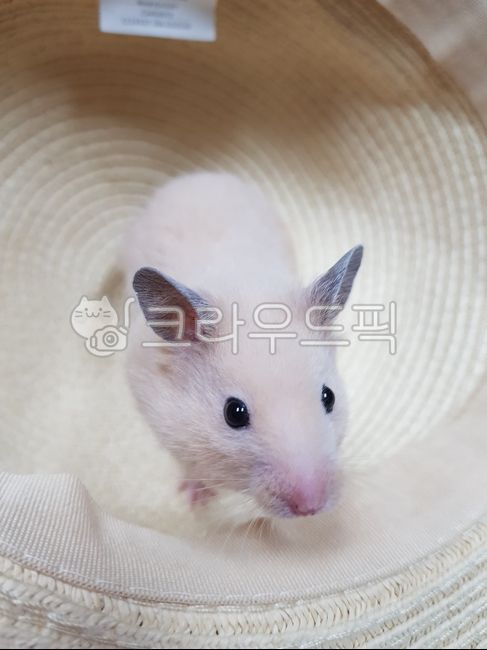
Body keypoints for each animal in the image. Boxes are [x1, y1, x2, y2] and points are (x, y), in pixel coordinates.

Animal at [123, 172, 362, 520]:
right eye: (233, 413)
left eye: (328, 397)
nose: (310, 507)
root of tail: (196, 176)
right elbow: (188, 466)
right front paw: (197, 502)